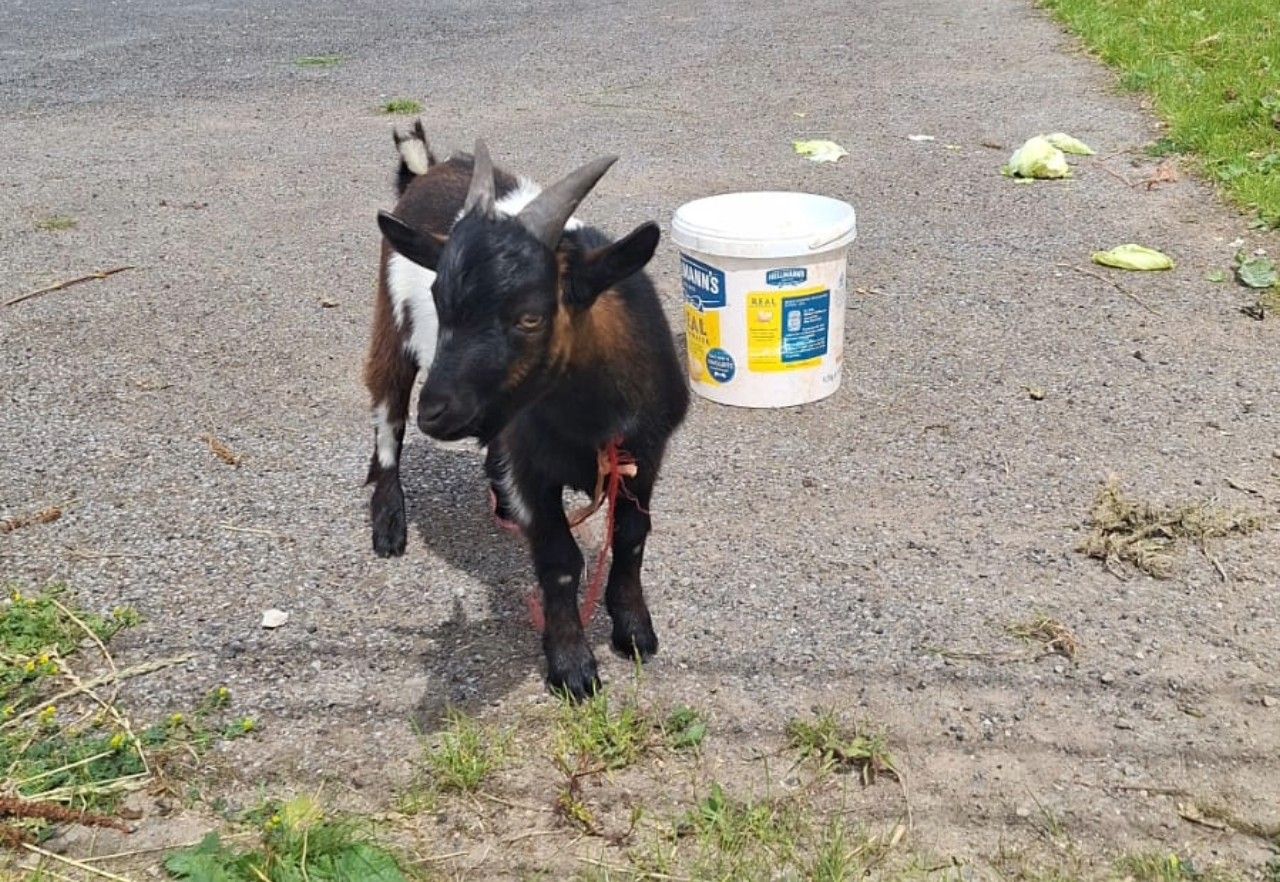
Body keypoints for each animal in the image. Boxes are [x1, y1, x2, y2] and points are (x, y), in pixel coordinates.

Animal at [363, 122, 689, 700]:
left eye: (530, 317)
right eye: (440, 301)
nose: (436, 413)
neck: (589, 414)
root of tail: (428, 170)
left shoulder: (643, 456)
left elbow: (631, 537)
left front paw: (634, 631)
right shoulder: (533, 469)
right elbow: (560, 560)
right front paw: (572, 665)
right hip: (391, 325)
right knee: (386, 414)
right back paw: (389, 521)